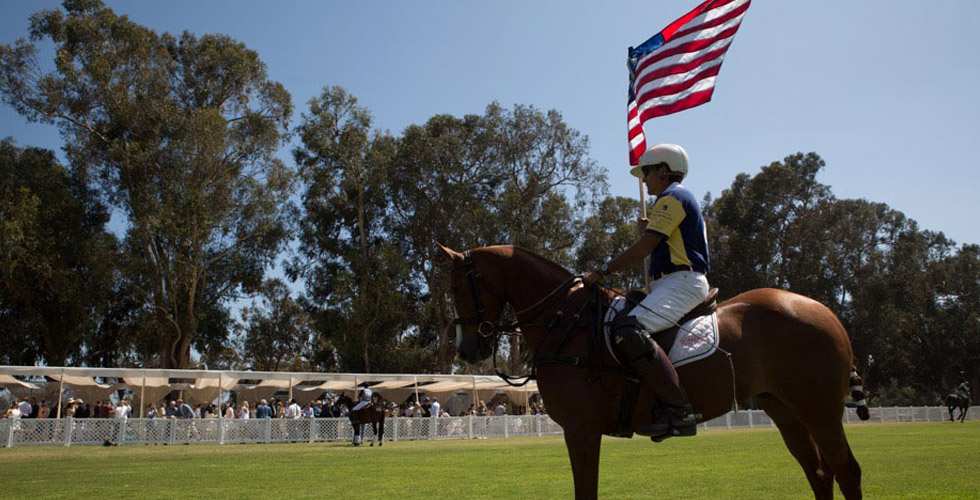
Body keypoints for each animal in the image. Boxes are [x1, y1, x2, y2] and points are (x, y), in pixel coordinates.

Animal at [440, 245, 868, 500]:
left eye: (458, 287)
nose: (468, 349)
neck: (567, 322)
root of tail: (829, 313)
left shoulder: (581, 429)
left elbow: (586, 491)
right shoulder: (580, 430)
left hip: (820, 410)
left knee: (846, 470)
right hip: (784, 409)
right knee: (819, 472)